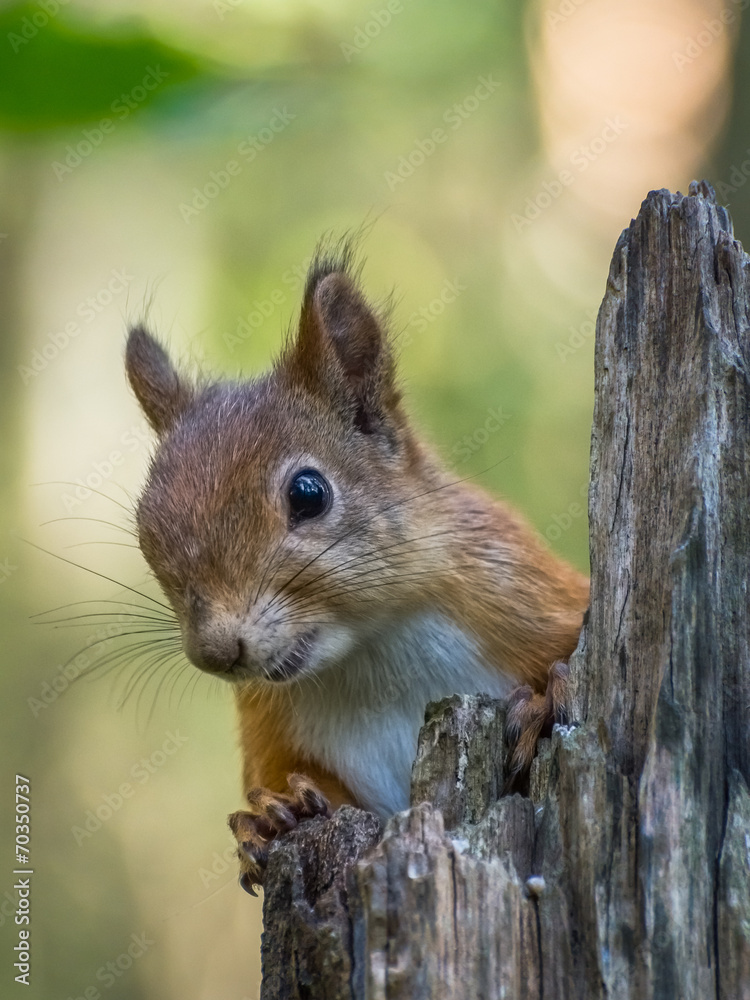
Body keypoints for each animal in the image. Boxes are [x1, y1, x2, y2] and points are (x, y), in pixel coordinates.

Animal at [125, 248, 589, 893]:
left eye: (308, 493)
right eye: (145, 525)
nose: (215, 652)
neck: (371, 650)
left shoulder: (529, 592)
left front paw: (544, 706)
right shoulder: (273, 726)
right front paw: (272, 817)